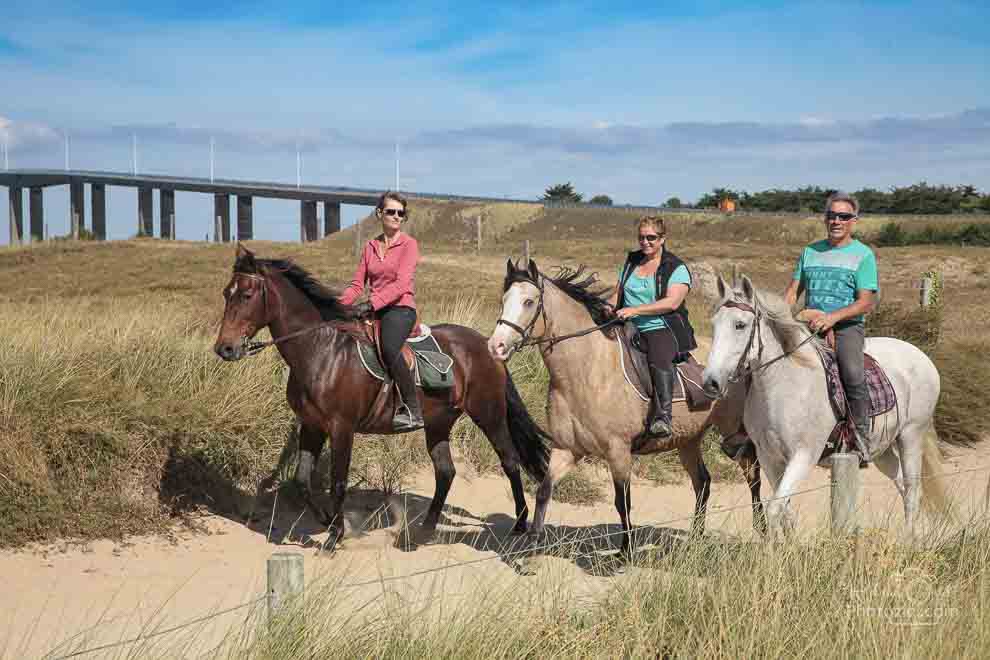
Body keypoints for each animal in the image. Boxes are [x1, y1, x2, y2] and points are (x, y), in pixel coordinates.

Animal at [214, 245, 552, 548]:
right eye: (226, 294)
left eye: (247, 295)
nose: (225, 349)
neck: (320, 350)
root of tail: (488, 345)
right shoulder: (311, 426)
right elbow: (302, 482)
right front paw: (327, 520)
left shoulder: (341, 428)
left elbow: (338, 482)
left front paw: (336, 534)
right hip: (439, 422)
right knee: (446, 472)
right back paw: (424, 531)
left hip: (489, 414)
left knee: (509, 461)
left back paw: (520, 523)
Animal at [488, 258, 760, 556]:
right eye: (503, 300)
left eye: (528, 301)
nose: (496, 346)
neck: (585, 371)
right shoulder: (567, 449)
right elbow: (544, 491)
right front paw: (533, 545)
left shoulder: (618, 451)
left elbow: (622, 501)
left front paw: (625, 551)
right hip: (688, 440)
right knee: (703, 482)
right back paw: (696, 538)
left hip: (732, 432)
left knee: (753, 475)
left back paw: (762, 527)